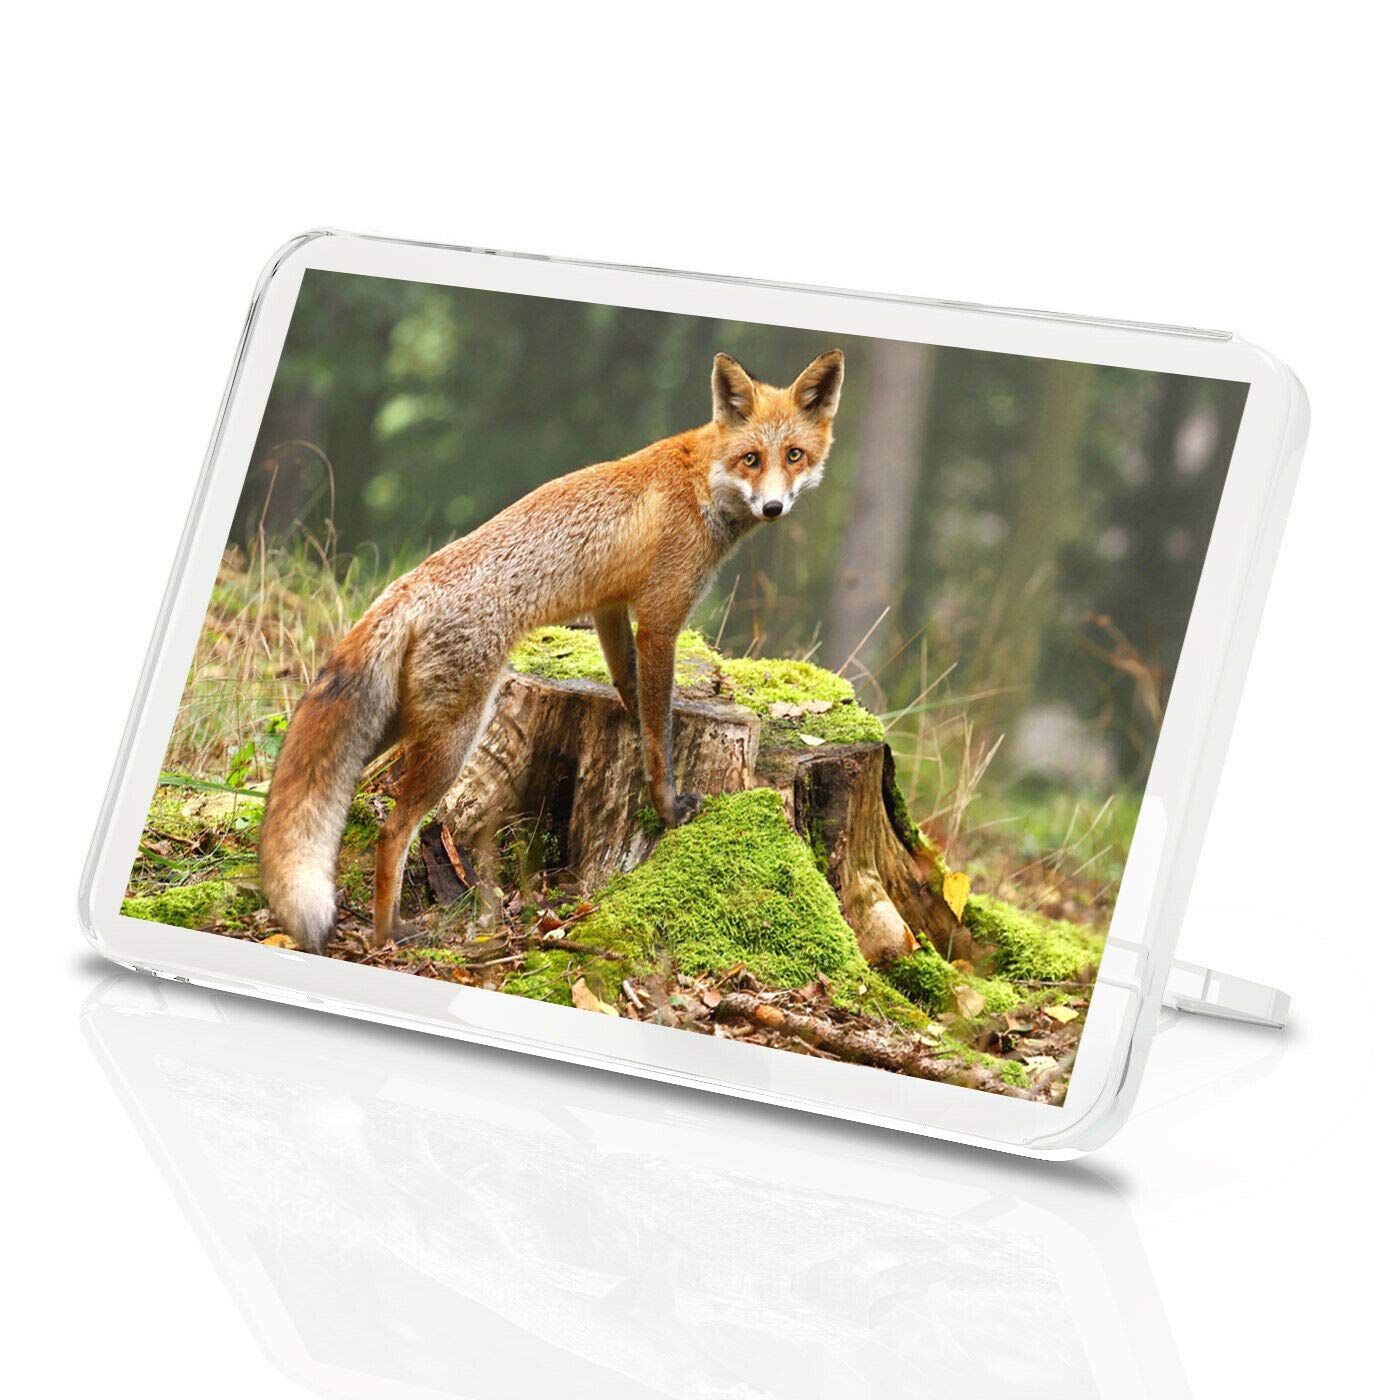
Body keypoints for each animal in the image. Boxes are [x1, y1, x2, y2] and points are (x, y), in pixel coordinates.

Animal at [259, 348, 845, 952]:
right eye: (751, 458)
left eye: (794, 455)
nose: (774, 507)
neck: (701, 481)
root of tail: (410, 584)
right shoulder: (660, 621)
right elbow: (659, 735)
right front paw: (668, 806)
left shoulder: (611, 608)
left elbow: (631, 689)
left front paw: (634, 722)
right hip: (455, 734)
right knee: (392, 829)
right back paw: (387, 933)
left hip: (399, 724)